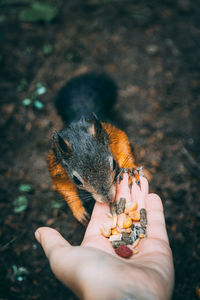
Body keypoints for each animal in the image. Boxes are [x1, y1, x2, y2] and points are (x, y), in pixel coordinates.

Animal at [47, 72, 141, 225]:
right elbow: (63, 186)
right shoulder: (56, 163)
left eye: (114, 164)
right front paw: (79, 212)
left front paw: (130, 169)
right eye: (76, 180)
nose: (108, 198)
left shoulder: (112, 134)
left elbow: (122, 145)